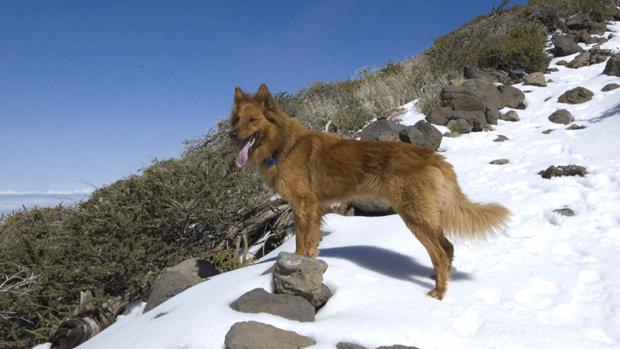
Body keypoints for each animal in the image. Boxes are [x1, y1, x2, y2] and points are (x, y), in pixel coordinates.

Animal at [228, 83, 508, 298]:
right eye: (237, 120)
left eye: (253, 120)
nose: (232, 134)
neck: (282, 145)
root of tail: (432, 156)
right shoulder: (315, 207)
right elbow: (313, 242)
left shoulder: (302, 203)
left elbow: (300, 241)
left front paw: (295, 263)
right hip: (426, 217)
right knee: (447, 248)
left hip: (414, 217)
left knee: (440, 252)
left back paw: (439, 292)